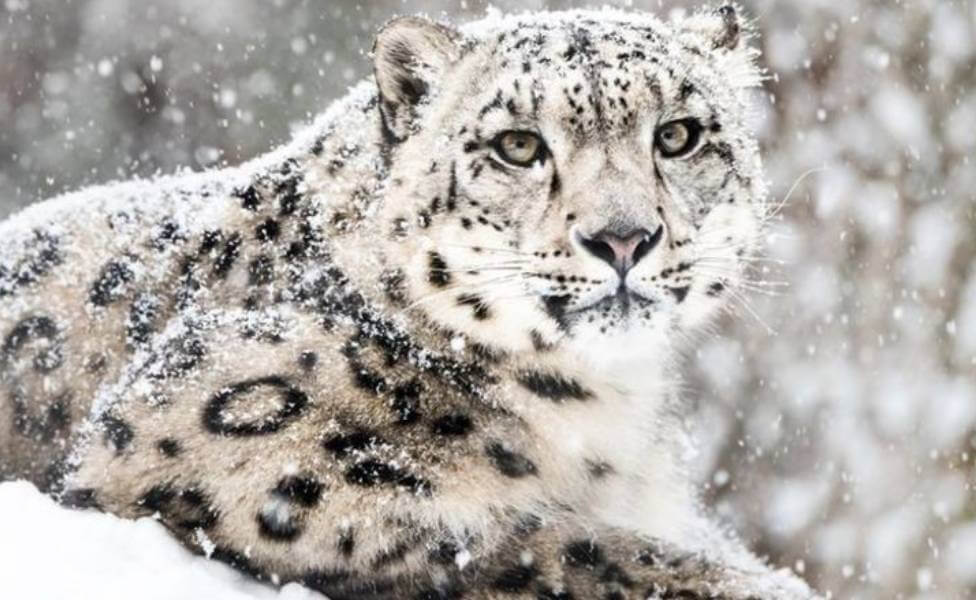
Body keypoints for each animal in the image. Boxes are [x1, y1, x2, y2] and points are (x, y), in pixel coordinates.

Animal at [1, 5, 816, 600]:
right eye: (518, 145)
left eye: (677, 135)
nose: (623, 237)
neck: (602, 408)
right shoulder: (224, 458)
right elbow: (539, 544)